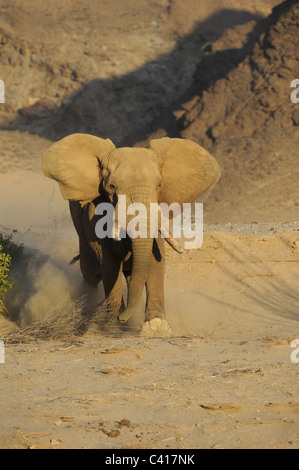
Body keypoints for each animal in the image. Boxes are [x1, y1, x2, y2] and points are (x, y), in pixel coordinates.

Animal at [41, 134, 220, 334]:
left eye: (159, 185)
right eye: (112, 186)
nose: (123, 318)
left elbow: (156, 258)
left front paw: (155, 327)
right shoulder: (94, 212)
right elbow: (109, 263)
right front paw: (112, 327)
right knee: (91, 275)